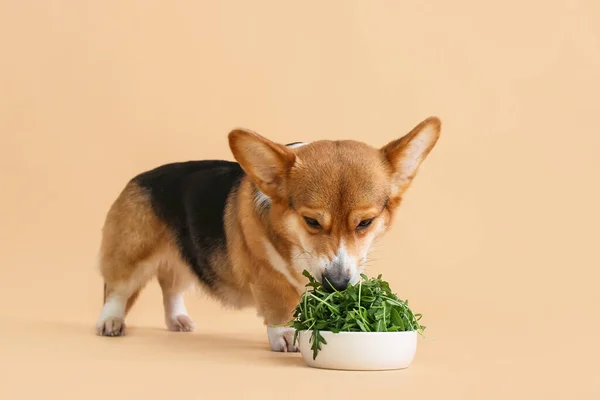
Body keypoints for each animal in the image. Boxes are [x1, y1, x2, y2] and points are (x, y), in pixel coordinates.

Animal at [95, 115, 440, 350]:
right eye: (312, 221)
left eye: (365, 223)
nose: (337, 285)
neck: (295, 244)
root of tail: (139, 178)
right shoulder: (268, 274)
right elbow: (280, 305)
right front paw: (286, 334)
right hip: (131, 254)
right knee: (117, 290)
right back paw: (110, 321)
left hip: (186, 258)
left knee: (171, 288)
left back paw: (177, 320)